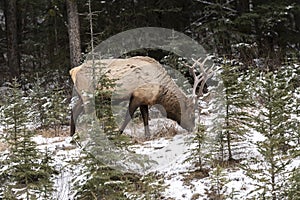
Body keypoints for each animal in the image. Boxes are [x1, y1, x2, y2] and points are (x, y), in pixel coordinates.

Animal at [69, 55, 212, 138]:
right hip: (87, 94)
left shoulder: (144, 100)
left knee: (74, 109)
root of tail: (74, 71)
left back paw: (72, 135)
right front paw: (119, 133)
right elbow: (129, 116)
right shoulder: (136, 96)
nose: (192, 128)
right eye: (191, 113)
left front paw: (147, 136)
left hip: (83, 96)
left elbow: (145, 117)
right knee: (88, 114)